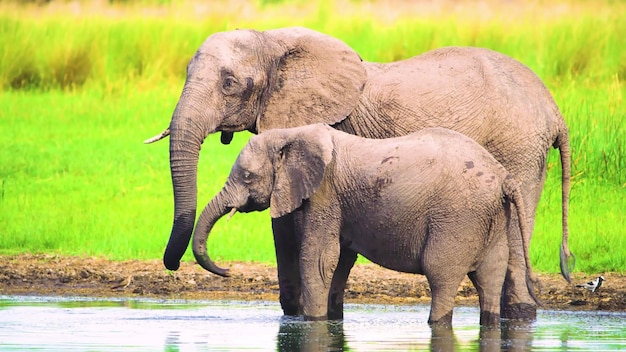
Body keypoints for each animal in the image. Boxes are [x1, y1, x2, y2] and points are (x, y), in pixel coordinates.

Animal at [191, 124, 536, 328]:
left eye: (247, 176)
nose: (228, 270)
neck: (292, 134)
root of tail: (504, 178)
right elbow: (340, 260)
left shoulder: (323, 194)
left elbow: (318, 260)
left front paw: (313, 321)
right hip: (492, 218)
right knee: (489, 277)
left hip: (458, 217)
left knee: (441, 275)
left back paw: (435, 323)